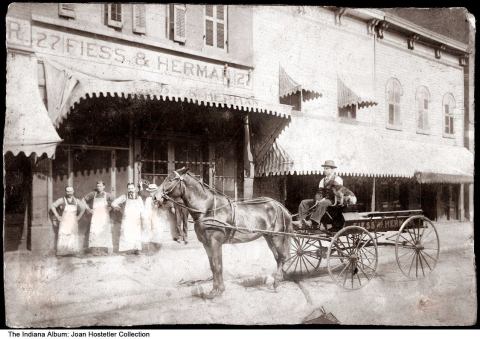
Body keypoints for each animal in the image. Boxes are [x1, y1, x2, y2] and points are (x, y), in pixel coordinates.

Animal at [157, 169, 292, 298]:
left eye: (170, 179)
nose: (155, 197)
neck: (208, 209)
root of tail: (280, 206)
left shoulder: (215, 243)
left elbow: (217, 265)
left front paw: (219, 291)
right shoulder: (207, 244)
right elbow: (213, 266)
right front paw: (214, 290)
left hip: (277, 237)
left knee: (282, 257)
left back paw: (277, 282)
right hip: (268, 237)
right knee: (278, 257)